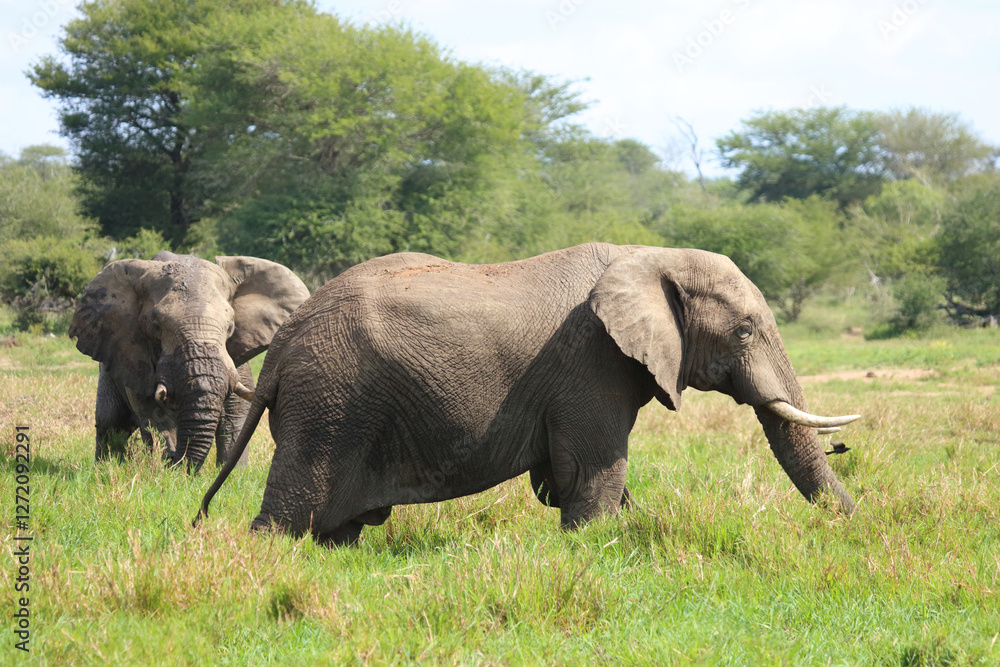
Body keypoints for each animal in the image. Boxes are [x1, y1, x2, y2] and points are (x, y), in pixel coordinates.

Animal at [70, 251, 310, 472]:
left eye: (231, 326)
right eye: (155, 326)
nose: (178, 464)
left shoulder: (233, 357)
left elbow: (235, 413)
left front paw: (232, 475)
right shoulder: (132, 352)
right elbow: (152, 413)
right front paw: (171, 466)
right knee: (110, 421)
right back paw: (106, 468)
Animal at [198, 243, 859, 544]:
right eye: (745, 330)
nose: (858, 526)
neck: (649, 255)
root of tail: (282, 348)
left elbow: (561, 477)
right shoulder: (591, 366)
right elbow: (593, 469)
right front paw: (595, 547)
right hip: (331, 402)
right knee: (292, 511)